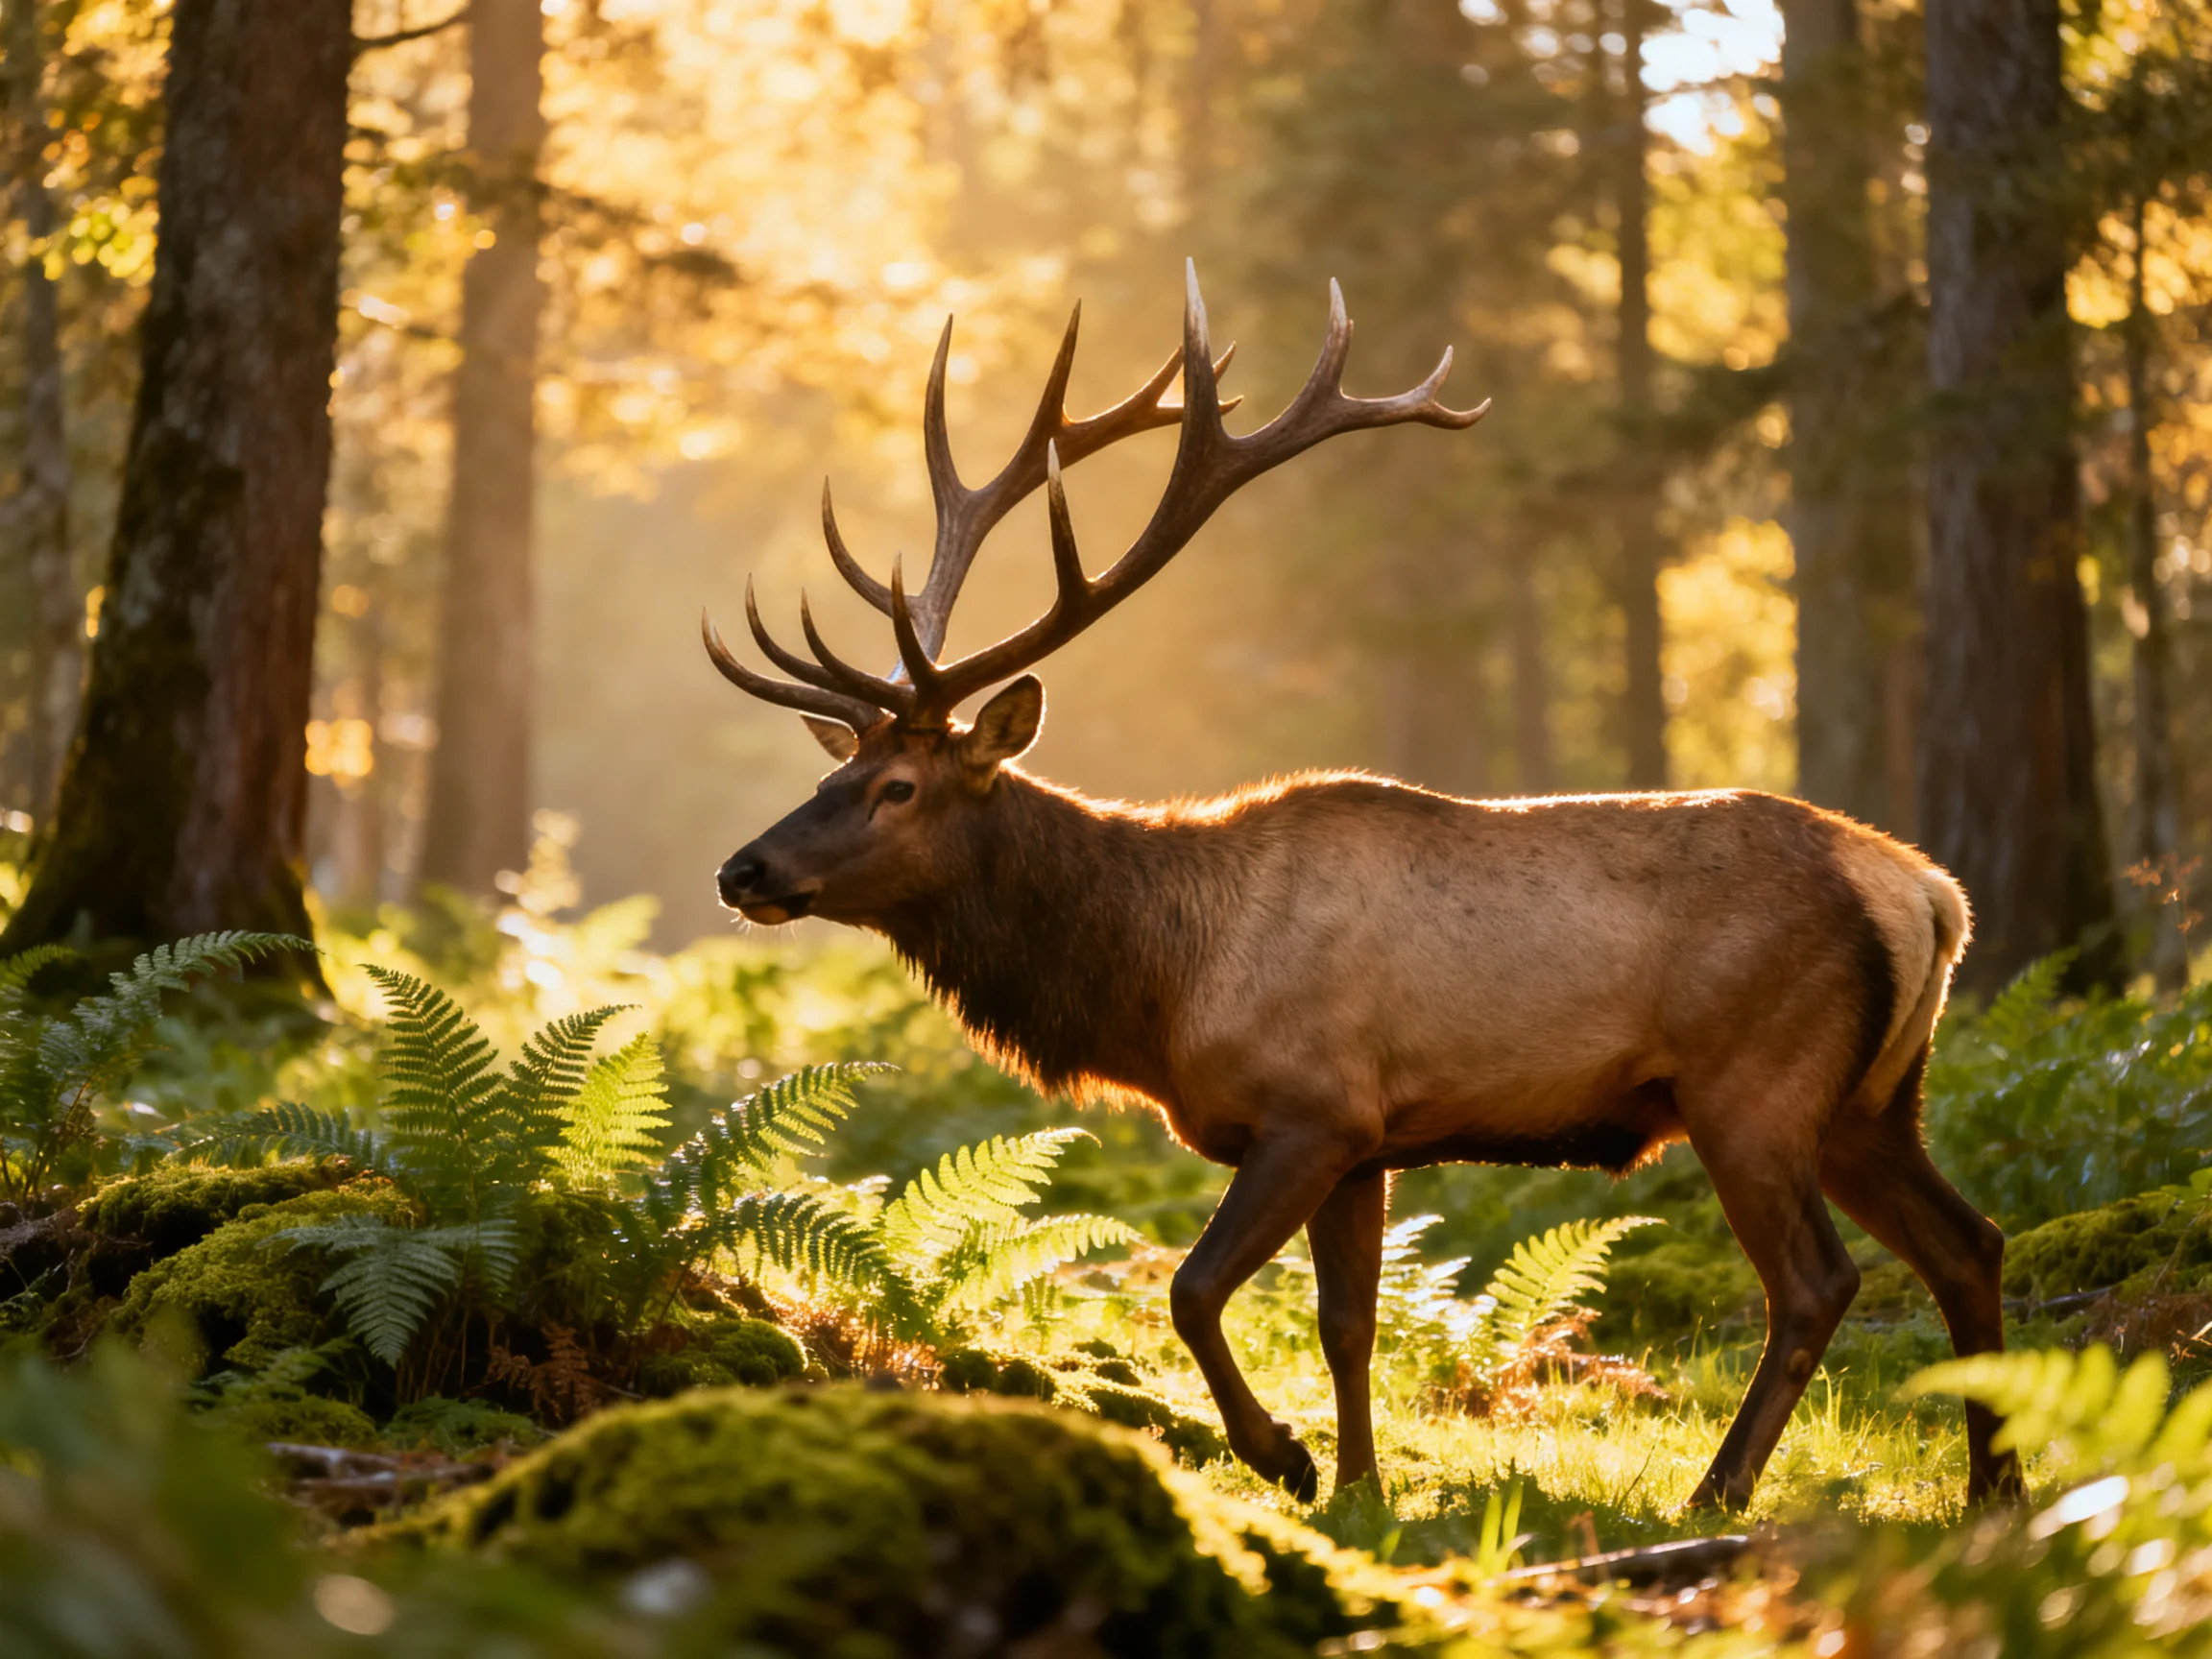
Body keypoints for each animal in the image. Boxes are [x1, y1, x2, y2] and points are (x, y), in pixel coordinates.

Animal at [705, 263, 2022, 1511]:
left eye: (900, 787)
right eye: (839, 770)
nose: (742, 867)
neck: (1159, 985)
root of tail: (1928, 894)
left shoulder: (1314, 1109)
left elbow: (1191, 1289)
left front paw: (1283, 1458)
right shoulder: (1370, 1142)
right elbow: (1350, 1323)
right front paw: (1360, 1485)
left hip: (1753, 1083)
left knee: (1819, 1280)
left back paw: (1725, 1484)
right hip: (1871, 1099)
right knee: (1973, 1241)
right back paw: (1994, 1485)